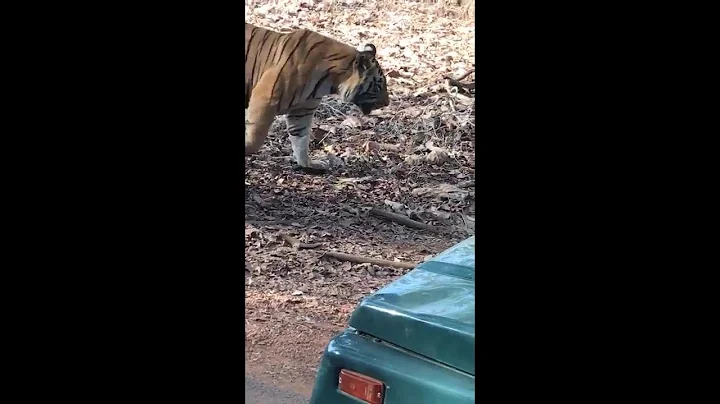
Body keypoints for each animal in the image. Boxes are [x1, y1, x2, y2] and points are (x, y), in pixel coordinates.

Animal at [245, 23, 390, 171]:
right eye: (379, 85)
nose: (387, 103)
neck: (331, 80)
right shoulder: (265, 99)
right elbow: (256, 138)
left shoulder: (302, 110)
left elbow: (301, 139)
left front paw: (309, 164)